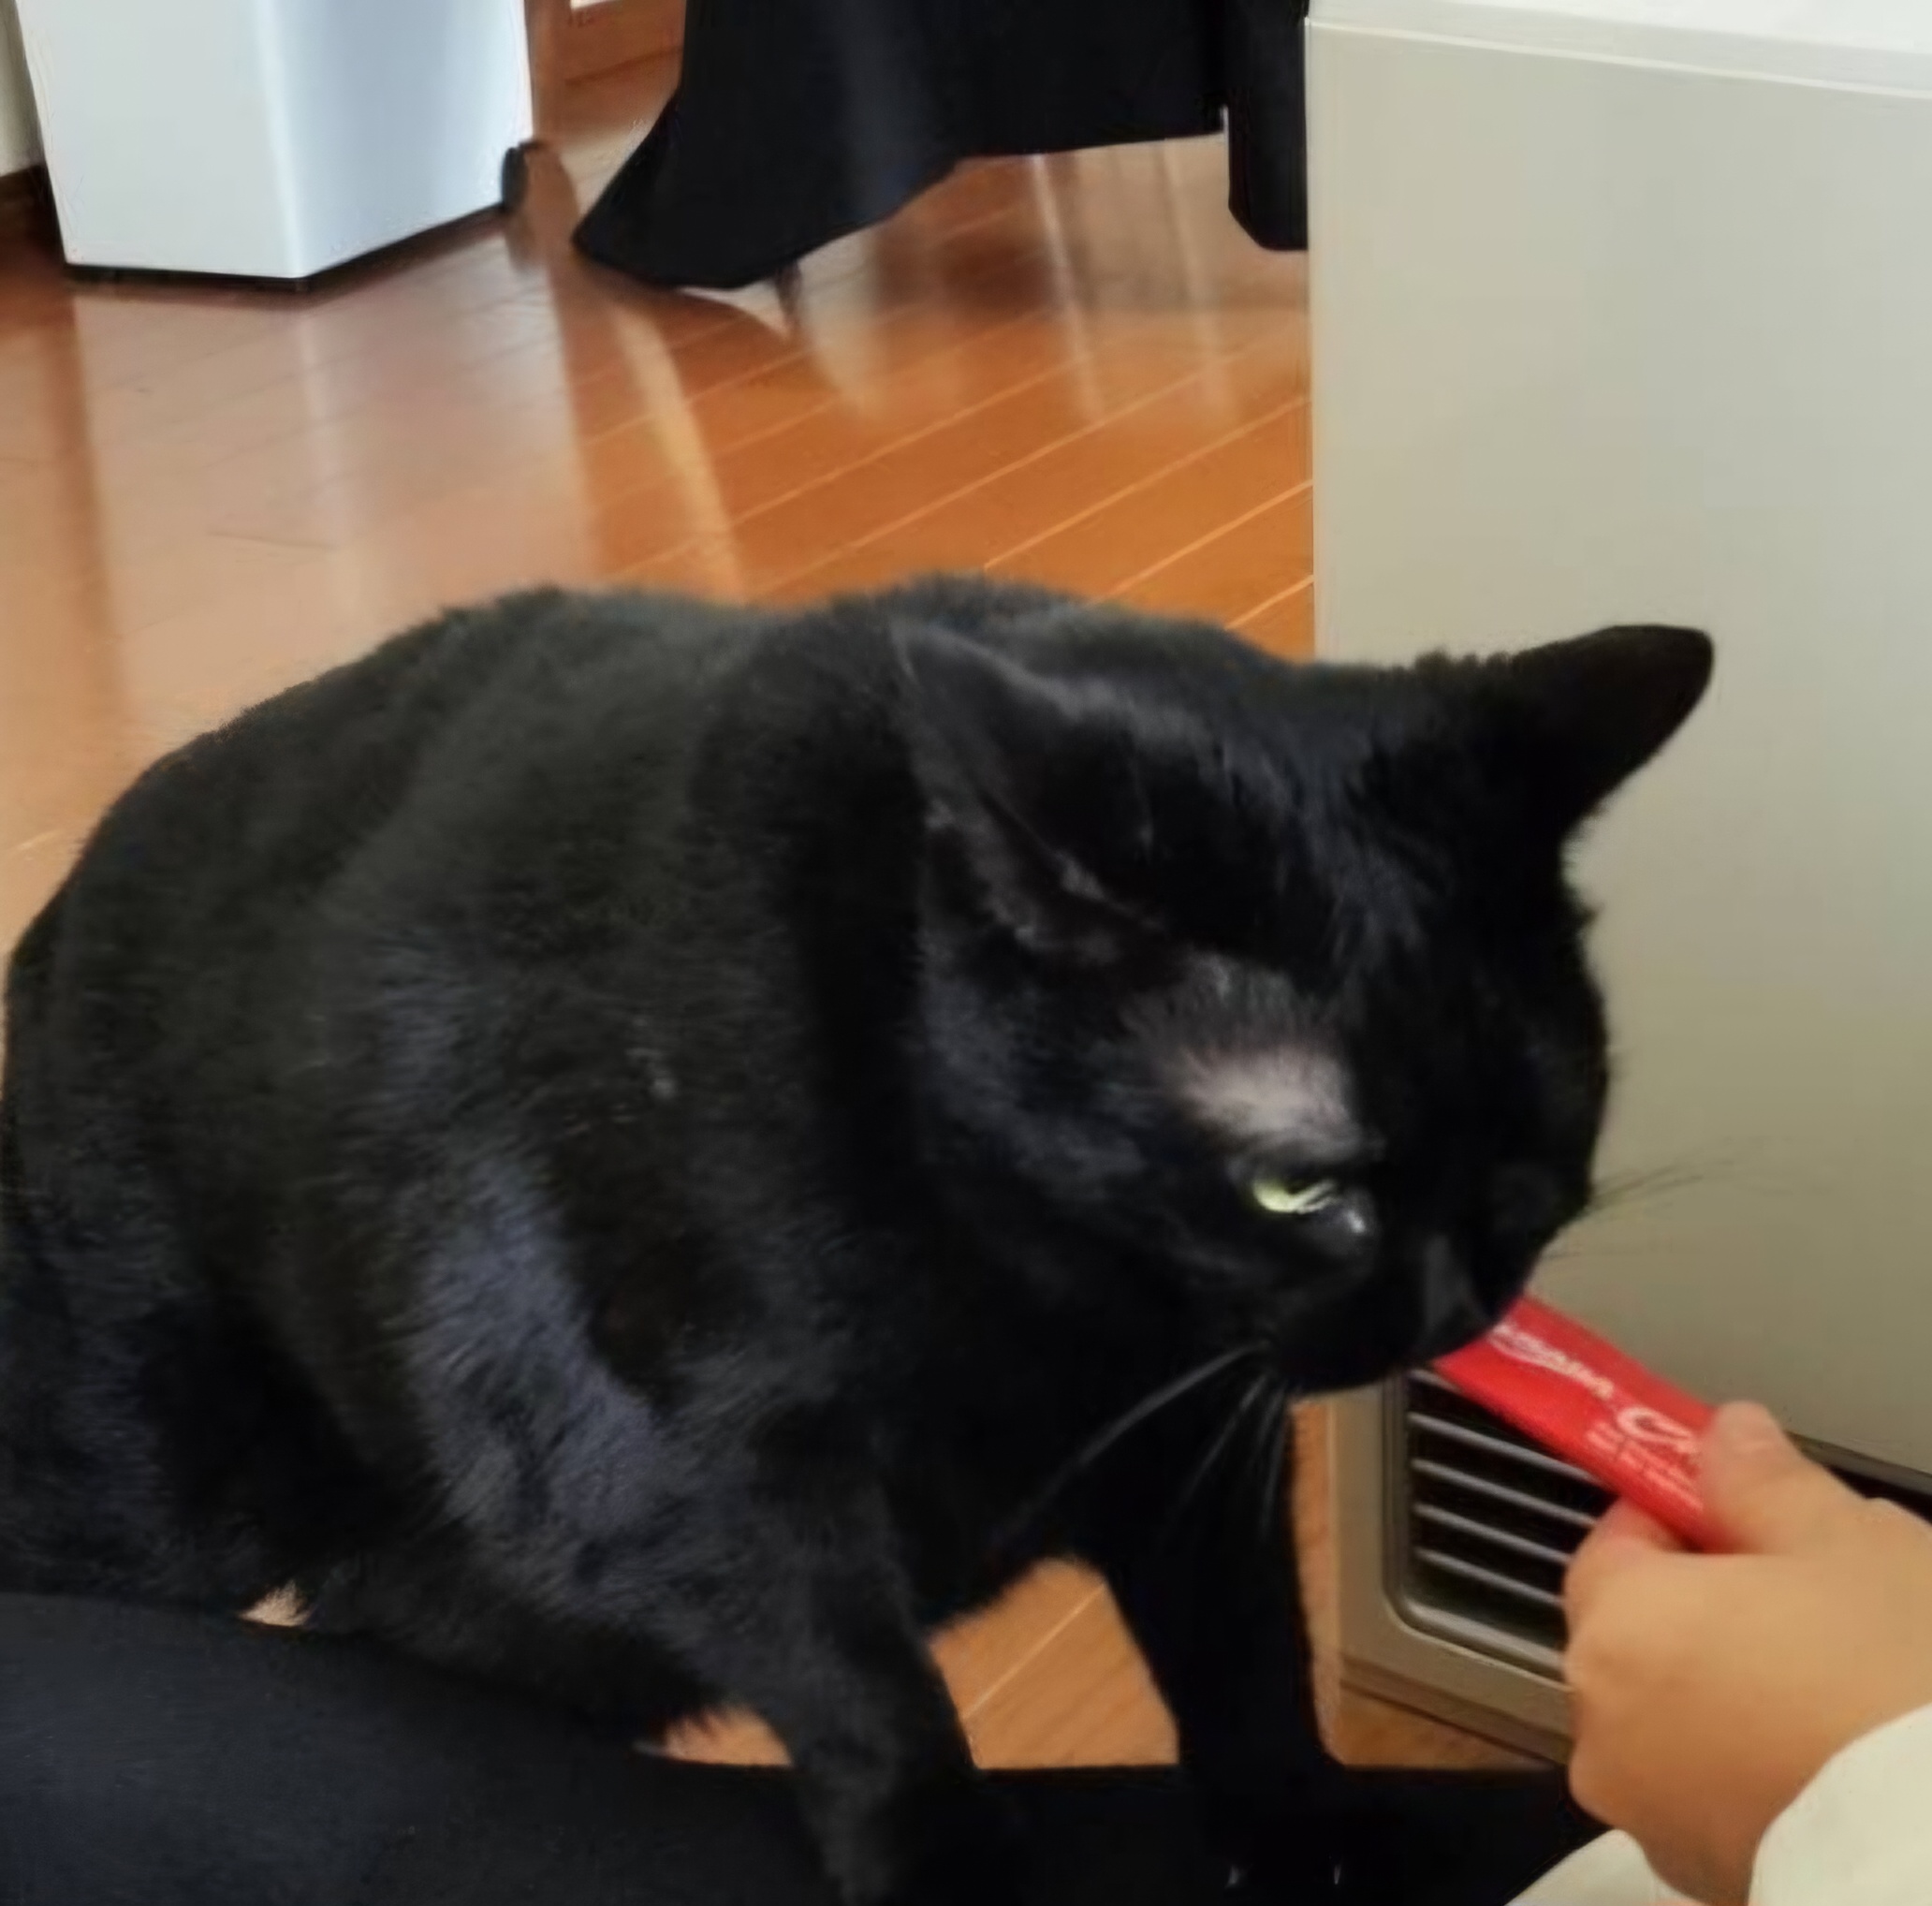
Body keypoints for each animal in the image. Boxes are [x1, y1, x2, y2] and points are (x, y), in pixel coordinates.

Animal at [0, 577, 1711, 1905]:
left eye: (1544, 1120)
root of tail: (67, 904)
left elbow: (1245, 1656)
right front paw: (946, 1867)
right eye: (1305, 1189)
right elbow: (863, 1689)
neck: (1054, 1286)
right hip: (169, 1496)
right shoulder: (679, 1475)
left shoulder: (1186, 1453)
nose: (1455, 1303)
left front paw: (1309, 1831)